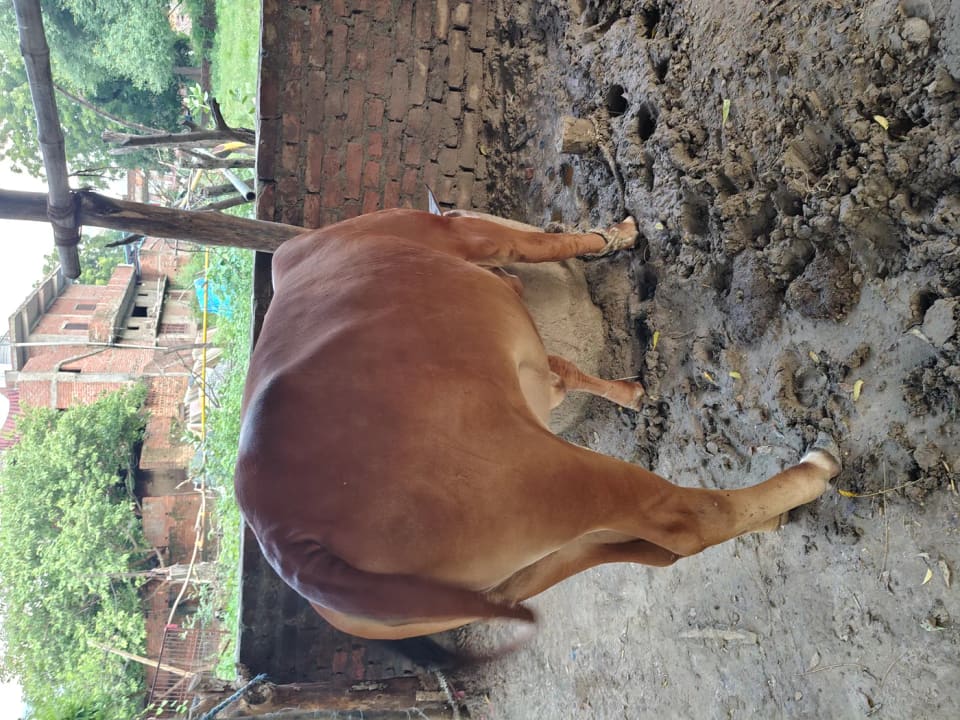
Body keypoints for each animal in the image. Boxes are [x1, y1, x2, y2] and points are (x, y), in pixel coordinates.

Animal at [234, 208, 841, 649]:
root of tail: (284, 535)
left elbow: (563, 368)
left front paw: (627, 393)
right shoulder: (471, 235)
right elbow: (552, 246)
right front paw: (618, 235)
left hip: (512, 567)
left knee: (641, 547)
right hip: (552, 475)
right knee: (685, 522)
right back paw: (809, 473)